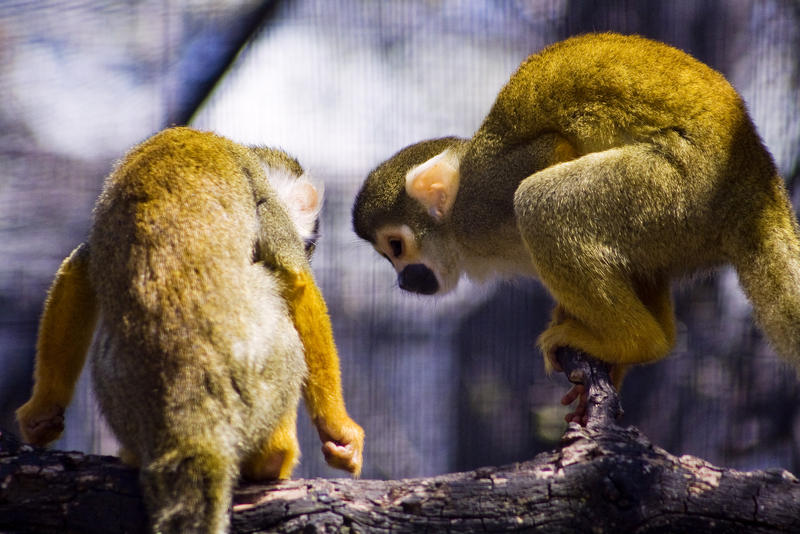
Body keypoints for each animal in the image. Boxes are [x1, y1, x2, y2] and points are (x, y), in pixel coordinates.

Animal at [15, 127, 362, 532]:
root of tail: (192, 427)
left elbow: (80, 268)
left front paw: (42, 412)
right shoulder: (259, 186)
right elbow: (295, 280)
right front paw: (340, 430)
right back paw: (273, 457)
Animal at [354, 32, 800, 428]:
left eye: (396, 247)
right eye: (388, 257)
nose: (404, 281)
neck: (465, 240)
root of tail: (757, 181)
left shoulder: (484, 194)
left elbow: (552, 152)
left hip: (680, 188)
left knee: (540, 201)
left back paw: (636, 341)